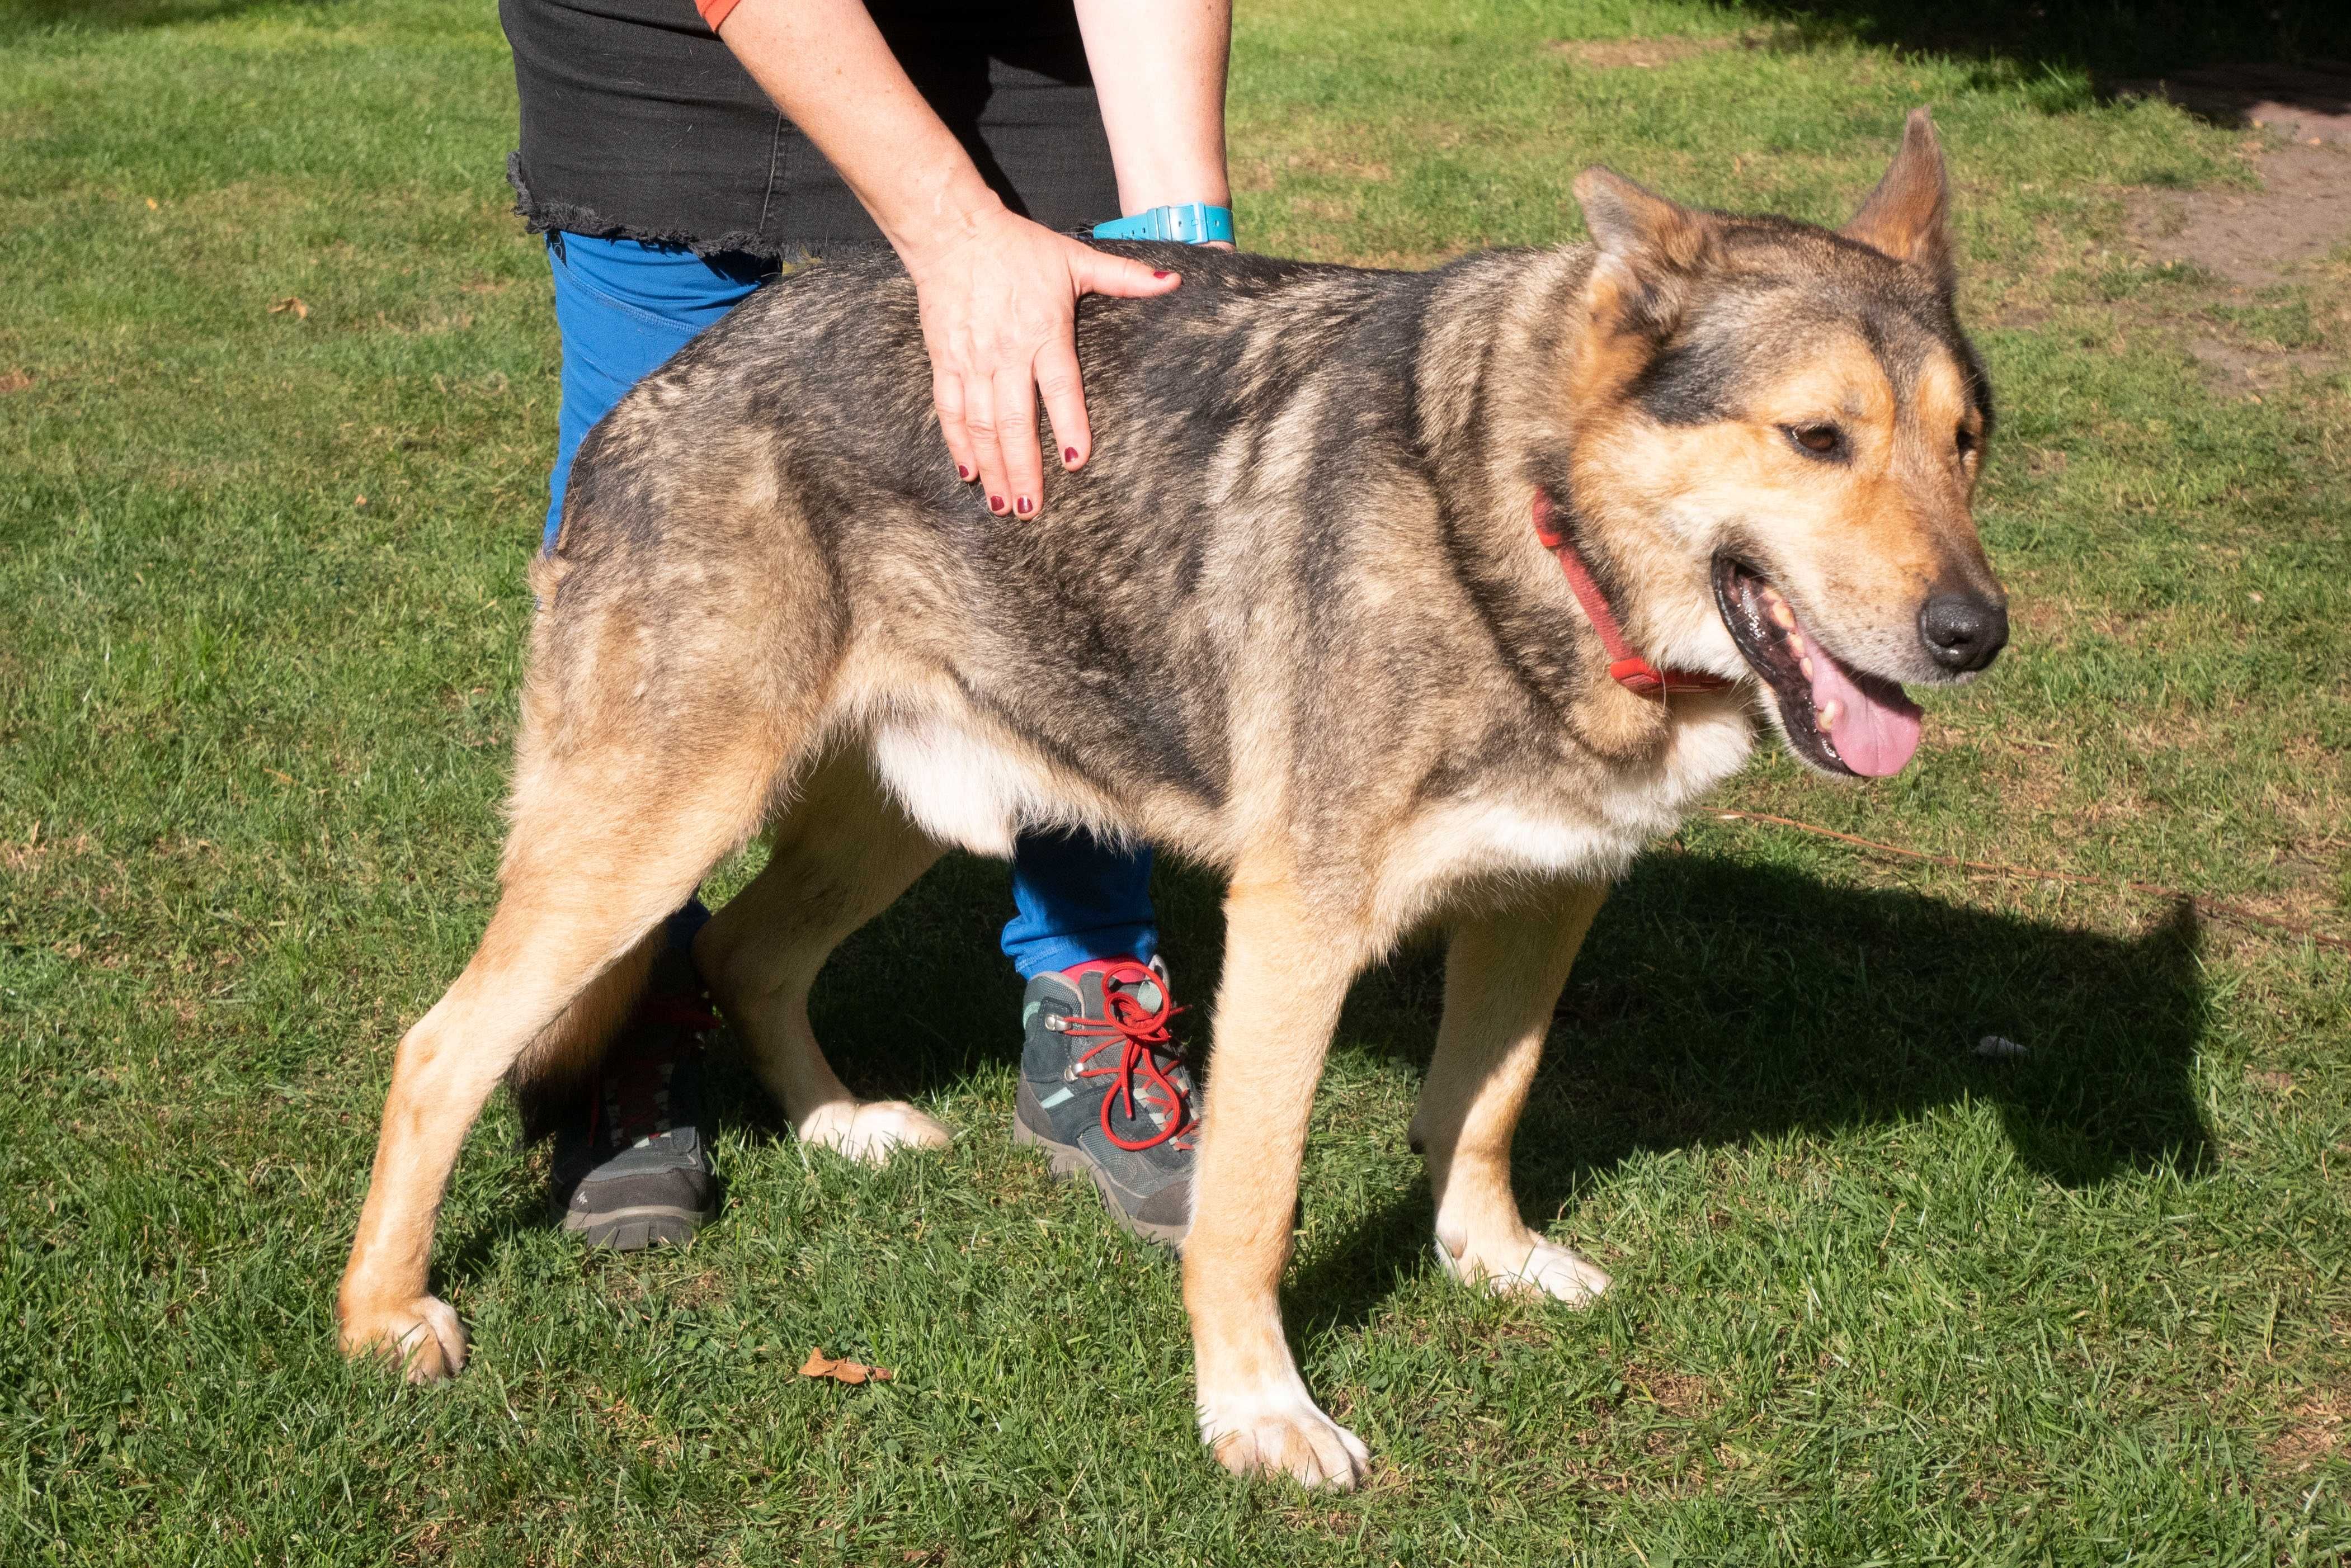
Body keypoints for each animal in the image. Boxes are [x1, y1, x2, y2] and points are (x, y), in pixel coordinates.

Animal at [341, 113, 2012, 1495]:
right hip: (654, 829)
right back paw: (383, 1315)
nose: (1976, 635)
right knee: (442, 1047)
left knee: (744, 951)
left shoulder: (1548, 896)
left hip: (897, 818)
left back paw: (838, 1128)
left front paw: (1489, 1259)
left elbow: (1484, 1108)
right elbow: (1249, 1208)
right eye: (1815, 438)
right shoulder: (1298, 928)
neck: (1518, 525)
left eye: (1965, 443)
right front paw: (1258, 1413)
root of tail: (656, 388)